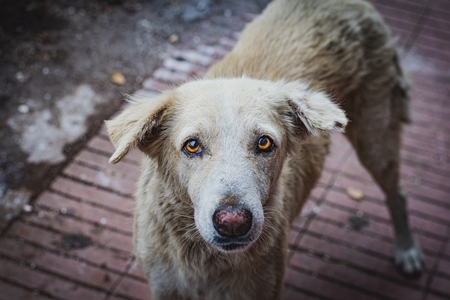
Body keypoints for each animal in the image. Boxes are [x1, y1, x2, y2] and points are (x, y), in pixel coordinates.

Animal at [105, 1, 422, 298]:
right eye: (192, 145)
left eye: (264, 143)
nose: (233, 223)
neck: (207, 262)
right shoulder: (164, 287)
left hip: (376, 139)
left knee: (398, 193)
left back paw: (407, 250)